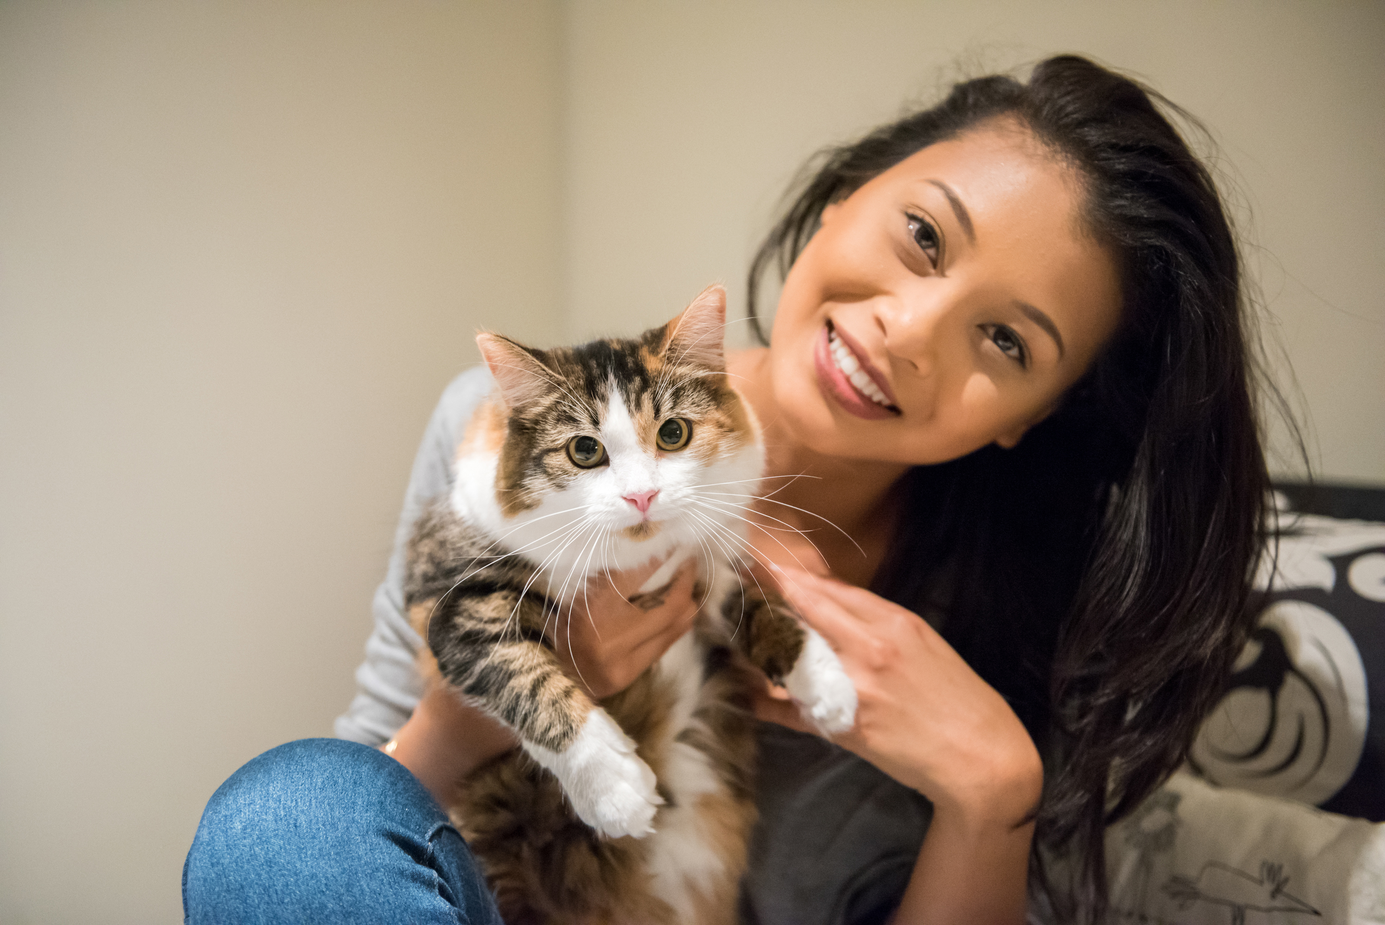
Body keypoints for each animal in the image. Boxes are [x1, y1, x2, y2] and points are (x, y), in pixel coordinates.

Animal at [404, 285, 853, 919]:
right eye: (584, 451)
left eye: (673, 434)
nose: (642, 496)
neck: (630, 564)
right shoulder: (451, 596)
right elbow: (525, 678)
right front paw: (614, 789)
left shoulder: (703, 569)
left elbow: (762, 606)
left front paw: (826, 683)